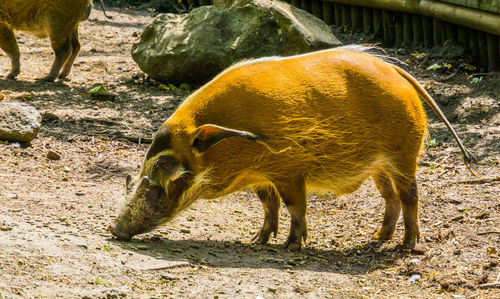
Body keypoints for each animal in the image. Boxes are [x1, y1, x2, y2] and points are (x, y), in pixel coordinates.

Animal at [107, 45, 470, 252]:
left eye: (166, 167)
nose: (114, 229)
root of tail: (398, 73)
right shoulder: (261, 177)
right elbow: (269, 206)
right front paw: (257, 241)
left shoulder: (289, 171)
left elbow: (296, 207)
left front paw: (291, 248)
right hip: (379, 167)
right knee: (390, 198)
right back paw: (377, 238)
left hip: (404, 155)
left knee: (411, 196)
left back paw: (407, 247)